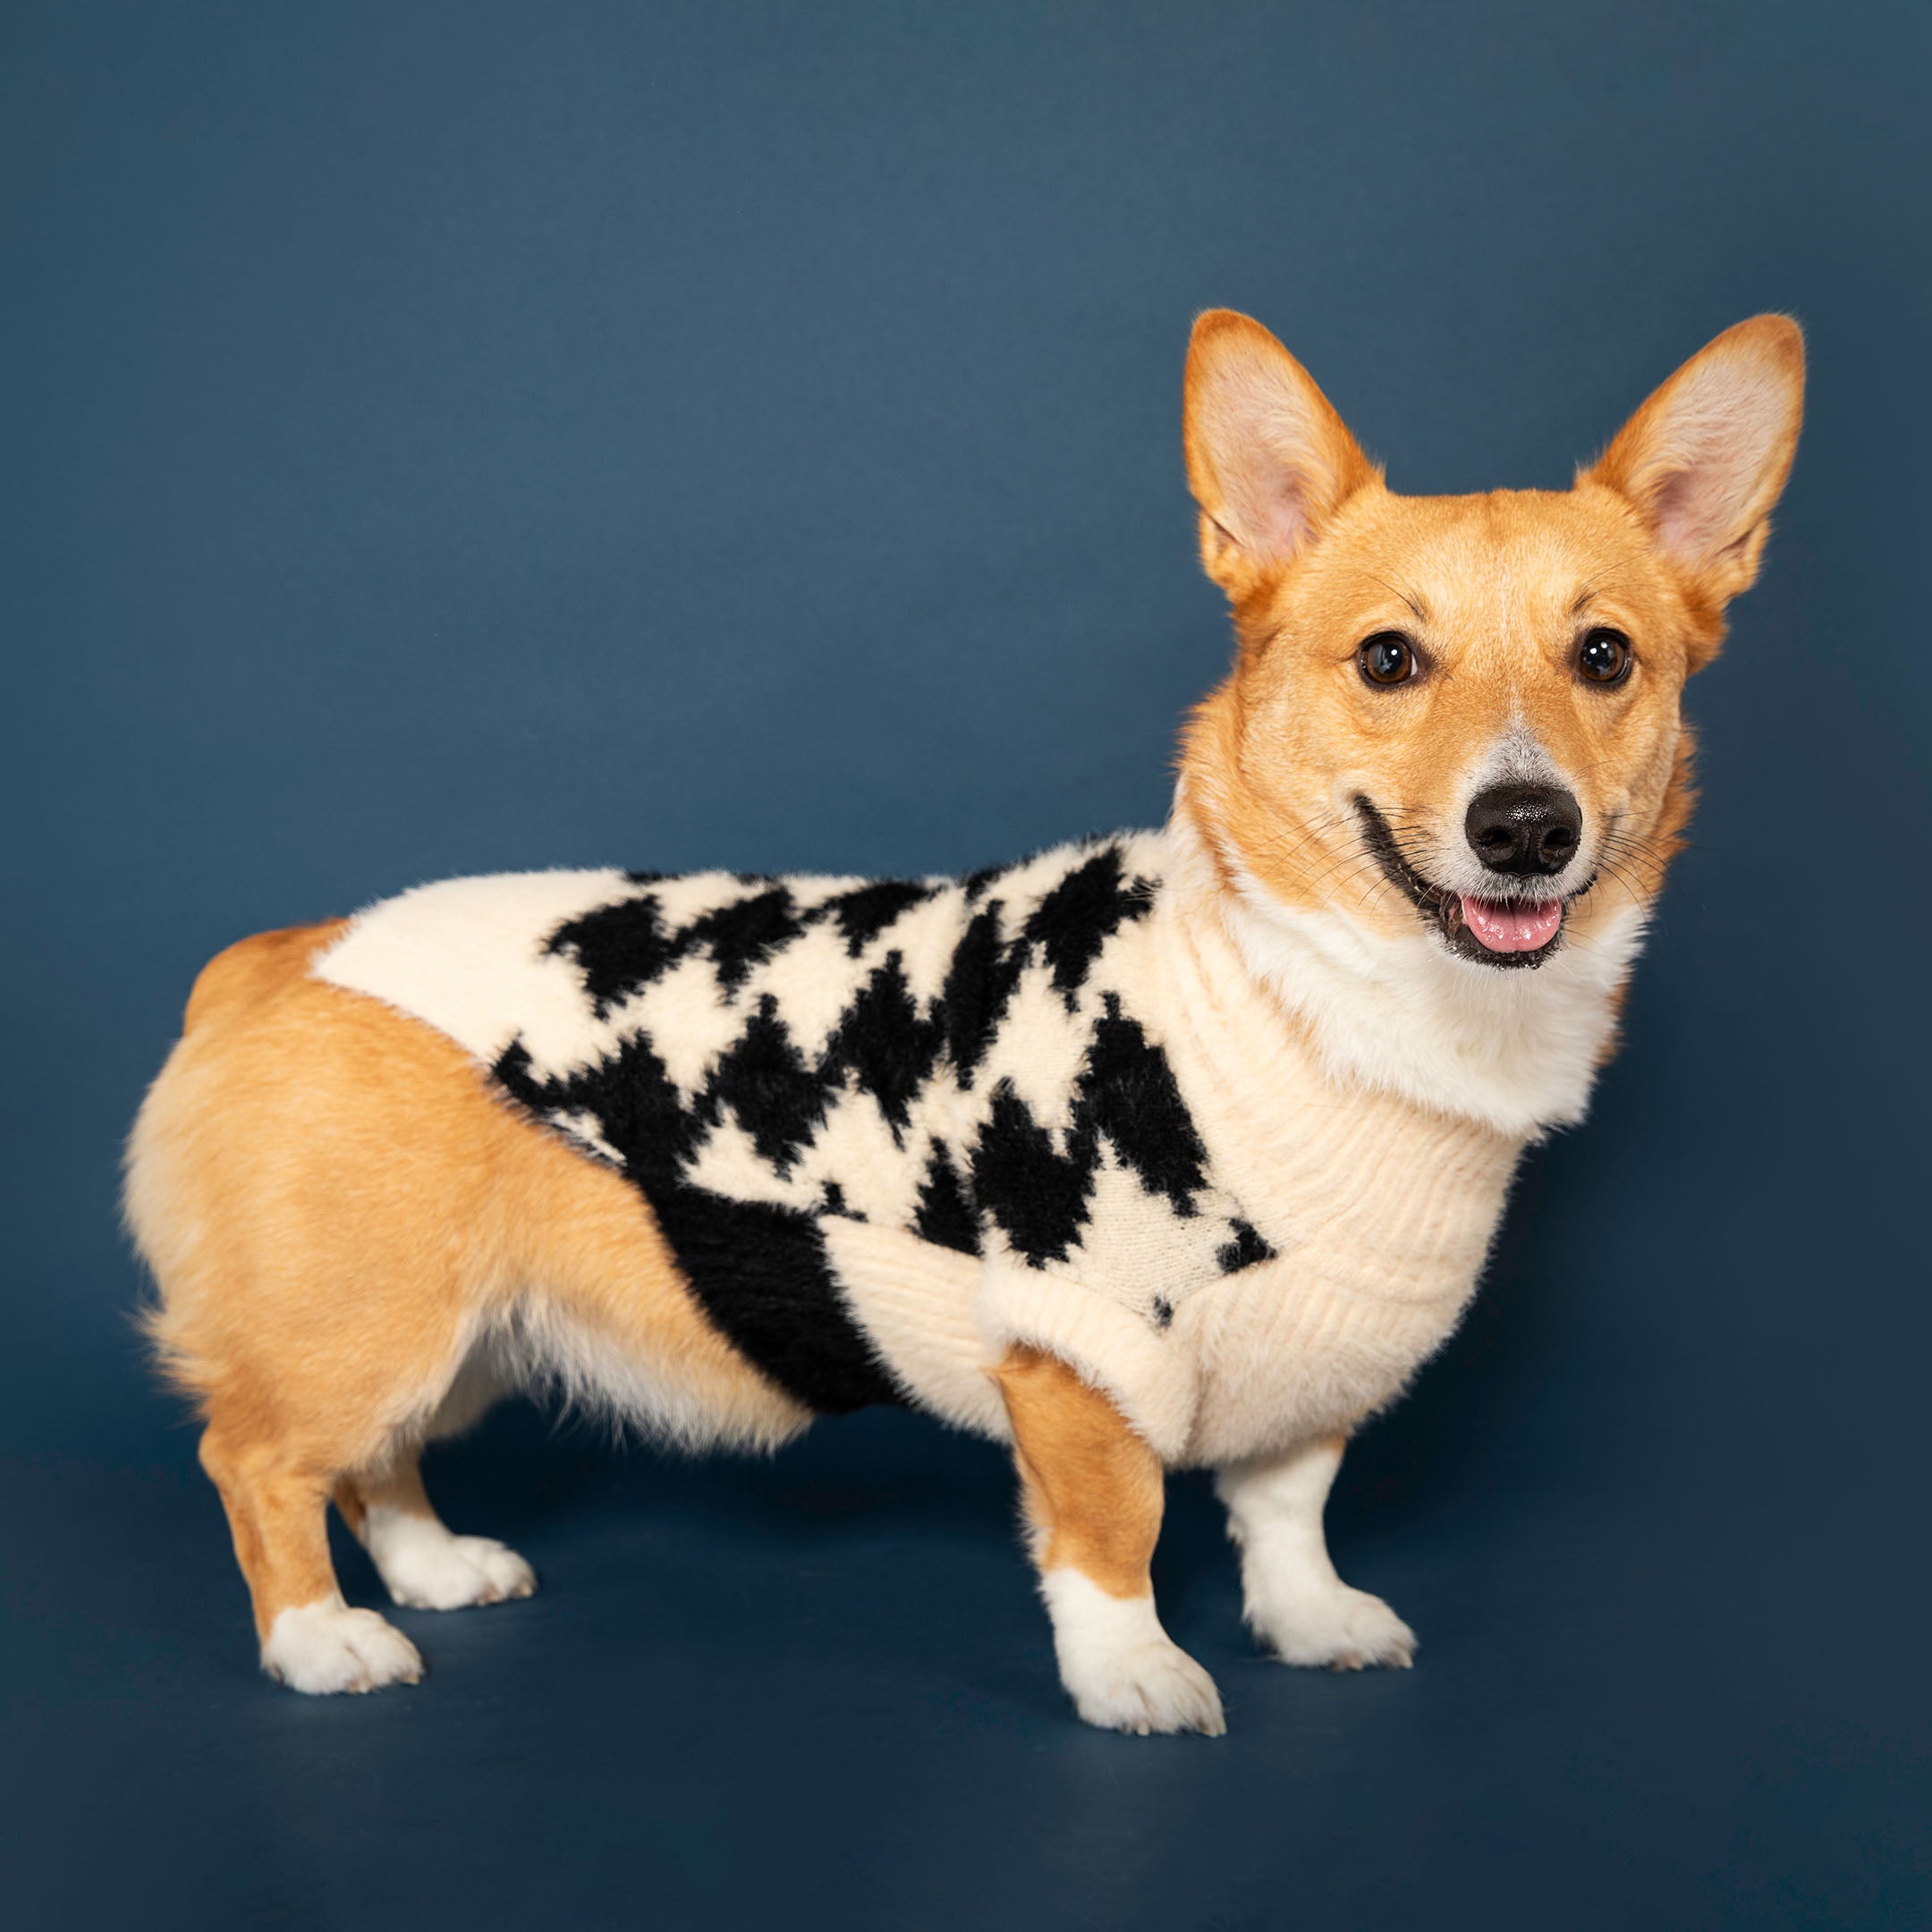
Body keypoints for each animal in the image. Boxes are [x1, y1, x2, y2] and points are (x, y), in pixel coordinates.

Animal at [128, 312, 1801, 1739]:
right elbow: (1119, 1530)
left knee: (376, 1460)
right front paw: (1138, 1678)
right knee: (260, 1457)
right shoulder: (1081, 1352)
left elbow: (1287, 1504)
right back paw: (326, 1640)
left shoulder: (1317, 1355)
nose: (1528, 827)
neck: (1320, 997)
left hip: (461, 1325)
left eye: (1605, 657)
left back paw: (431, 1569)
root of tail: (283, 955)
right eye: (1391, 659)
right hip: (369, 1314)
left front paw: (1311, 1621)